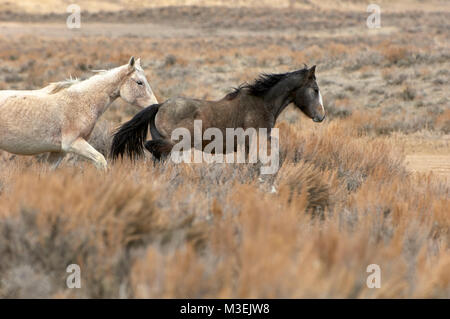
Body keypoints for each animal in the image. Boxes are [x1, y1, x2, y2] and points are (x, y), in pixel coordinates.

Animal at [0, 57, 158, 170]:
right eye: (139, 82)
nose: (155, 105)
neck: (82, 100)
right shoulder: (73, 144)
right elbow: (101, 161)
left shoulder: (59, 152)